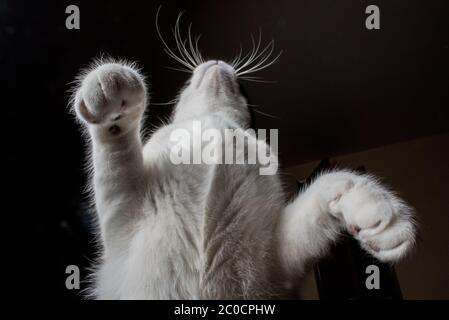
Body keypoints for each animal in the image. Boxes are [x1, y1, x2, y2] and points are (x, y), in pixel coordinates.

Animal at [71, 51, 416, 298]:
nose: (216, 61)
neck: (213, 122)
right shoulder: (124, 216)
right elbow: (115, 150)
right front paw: (112, 89)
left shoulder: (276, 264)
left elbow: (332, 184)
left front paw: (375, 211)